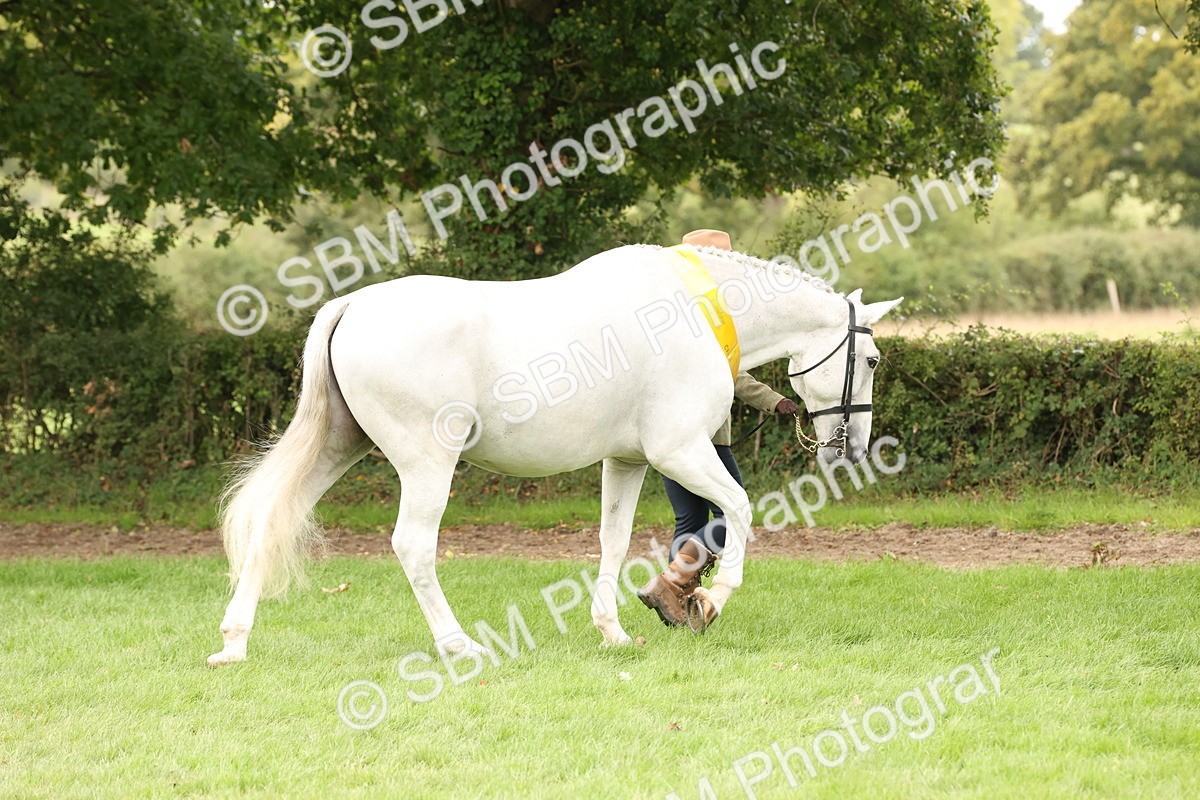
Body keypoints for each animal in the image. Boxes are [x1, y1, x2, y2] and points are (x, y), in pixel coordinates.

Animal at [206, 243, 901, 666]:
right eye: (869, 359)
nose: (854, 448)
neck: (696, 312)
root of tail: (354, 304)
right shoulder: (679, 452)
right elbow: (737, 510)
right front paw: (711, 600)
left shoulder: (629, 462)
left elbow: (614, 541)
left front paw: (614, 630)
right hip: (428, 463)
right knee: (413, 546)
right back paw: (459, 646)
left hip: (339, 445)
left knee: (273, 519)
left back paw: (234, 642)